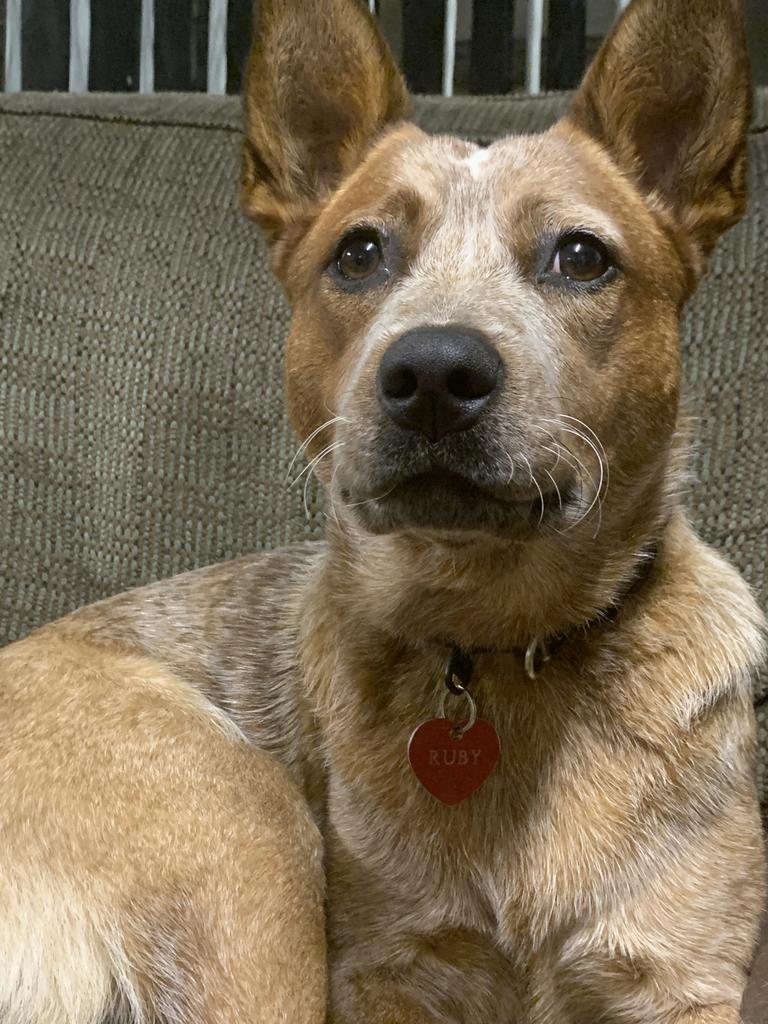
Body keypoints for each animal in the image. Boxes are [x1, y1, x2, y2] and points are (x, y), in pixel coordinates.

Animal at [3, 0, 765, 1019]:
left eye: (580, 256)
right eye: (359, 252)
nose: (436, 371)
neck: (494, 652)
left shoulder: (684, 981)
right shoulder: (383, 973)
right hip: (251, 829)